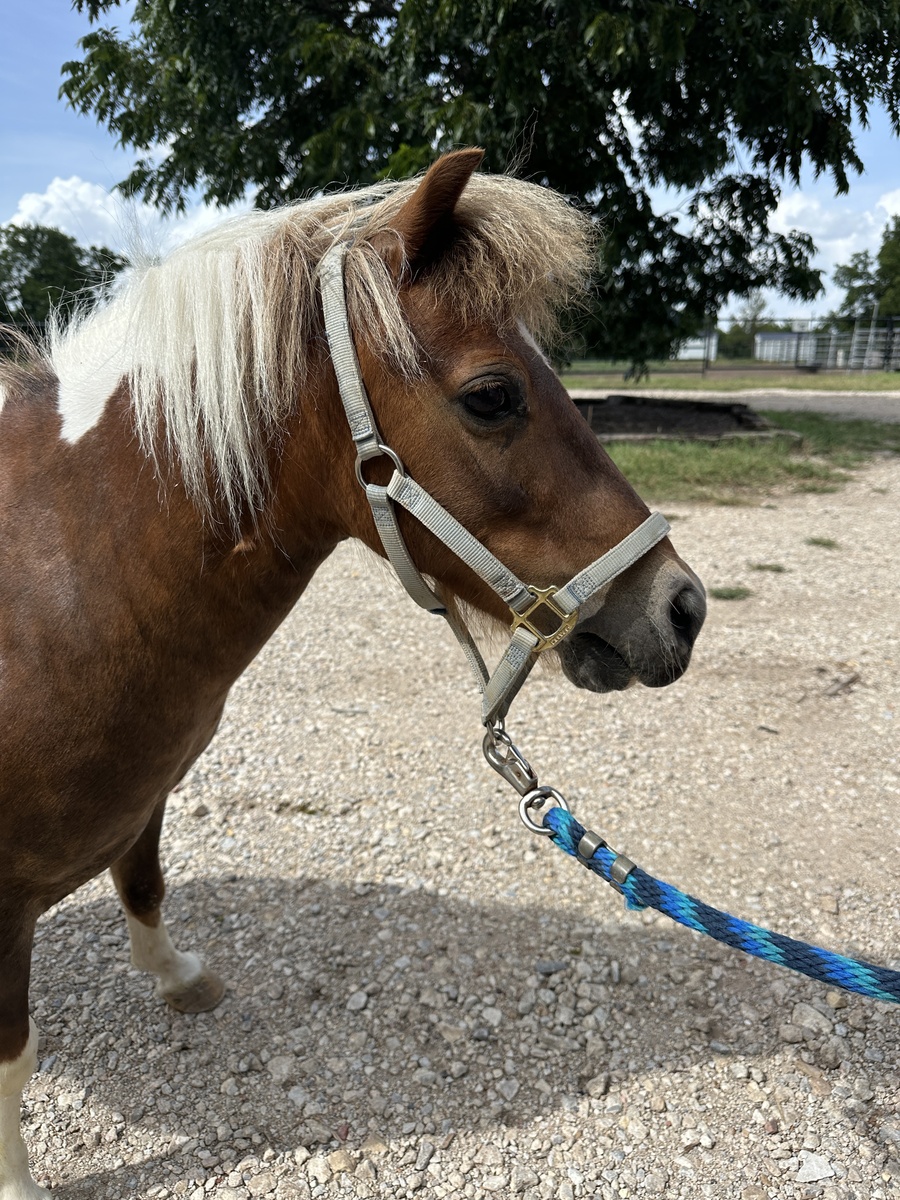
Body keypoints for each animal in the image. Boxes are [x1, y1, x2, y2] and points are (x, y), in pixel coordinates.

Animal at [0, 149, 705, 1198]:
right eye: (492, 395)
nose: (683, 608)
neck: (58, 572)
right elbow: (13, 1056)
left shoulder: (146, 791)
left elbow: (146, 882)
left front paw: (180, 980)